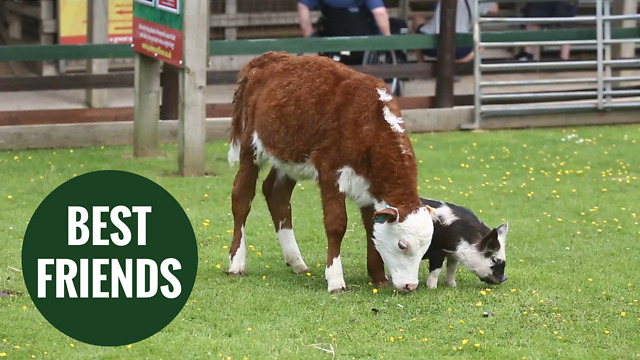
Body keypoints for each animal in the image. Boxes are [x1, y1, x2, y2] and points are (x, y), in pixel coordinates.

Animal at [226, 52, 436, 292]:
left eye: (425, 249)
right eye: (402, 245)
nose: (411, 285)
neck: (368, 123)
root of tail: (267, 59)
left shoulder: (368, 185)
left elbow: (371, 227)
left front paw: (378, 278)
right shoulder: (330, 172)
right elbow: (336, 223)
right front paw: (335, 279)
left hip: (288, 156)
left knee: (276, 194)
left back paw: (296, 262)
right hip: (250, 145)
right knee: (242, 196)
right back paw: (236, 263)